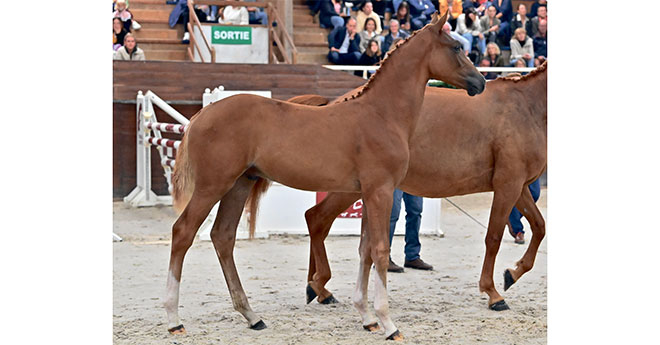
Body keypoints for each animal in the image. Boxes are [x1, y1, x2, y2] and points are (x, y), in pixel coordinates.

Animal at [165, 10, 484, 338]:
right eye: (456, 47)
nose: (480, 81)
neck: (382, 114)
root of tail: (201, 114)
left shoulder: (368, 193)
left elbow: (365, 251)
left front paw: (366, 317)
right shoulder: (381, 191)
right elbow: (380, 251)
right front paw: (388, 323)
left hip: (240, 184)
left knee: (223, 237)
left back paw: (252, 316)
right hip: (212, 186)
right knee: (183, 233)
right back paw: (174, 319)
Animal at [272, 61, 548, 312]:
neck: (527, 107)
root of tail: (335, 103)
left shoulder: (520, 187)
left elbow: (539, 227)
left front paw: (513, 273)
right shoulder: (507, 185)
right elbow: (493, 237)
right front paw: (493, 293)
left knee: (318, 220)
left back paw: (317, 289)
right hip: (350, 189)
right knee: (317, 219)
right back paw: (319, 286)